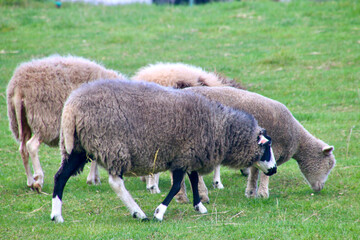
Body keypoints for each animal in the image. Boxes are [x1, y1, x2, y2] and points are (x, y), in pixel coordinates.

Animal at [5, 55, 126, 192]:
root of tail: (19, 87)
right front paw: (92, 179)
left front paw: (95, 178)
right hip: (45, 120)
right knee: (32, 145)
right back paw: (39, 180)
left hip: (21, 121)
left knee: (23, 149)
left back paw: (31, 182)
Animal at [50, 79, 276, 222]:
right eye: (267, 147)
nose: (273, 169)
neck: (219, 127)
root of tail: (71, 107)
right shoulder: (181, 158)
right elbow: (176, 186)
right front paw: (159, 212)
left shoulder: (189, 156)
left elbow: (193, 180)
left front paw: (199, 207)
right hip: (113, 146)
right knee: (115, 182)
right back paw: (139, 213)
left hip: (78, 147)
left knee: (60, 177)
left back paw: (57, 216)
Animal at [186, 87, 338, 198]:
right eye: (329, 164)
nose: (320, 188)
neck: (297, 139)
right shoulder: (272, 150)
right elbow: (265, 174)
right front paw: (263, 194)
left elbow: (254, 172)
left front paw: (250, 193)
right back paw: (201, 193)